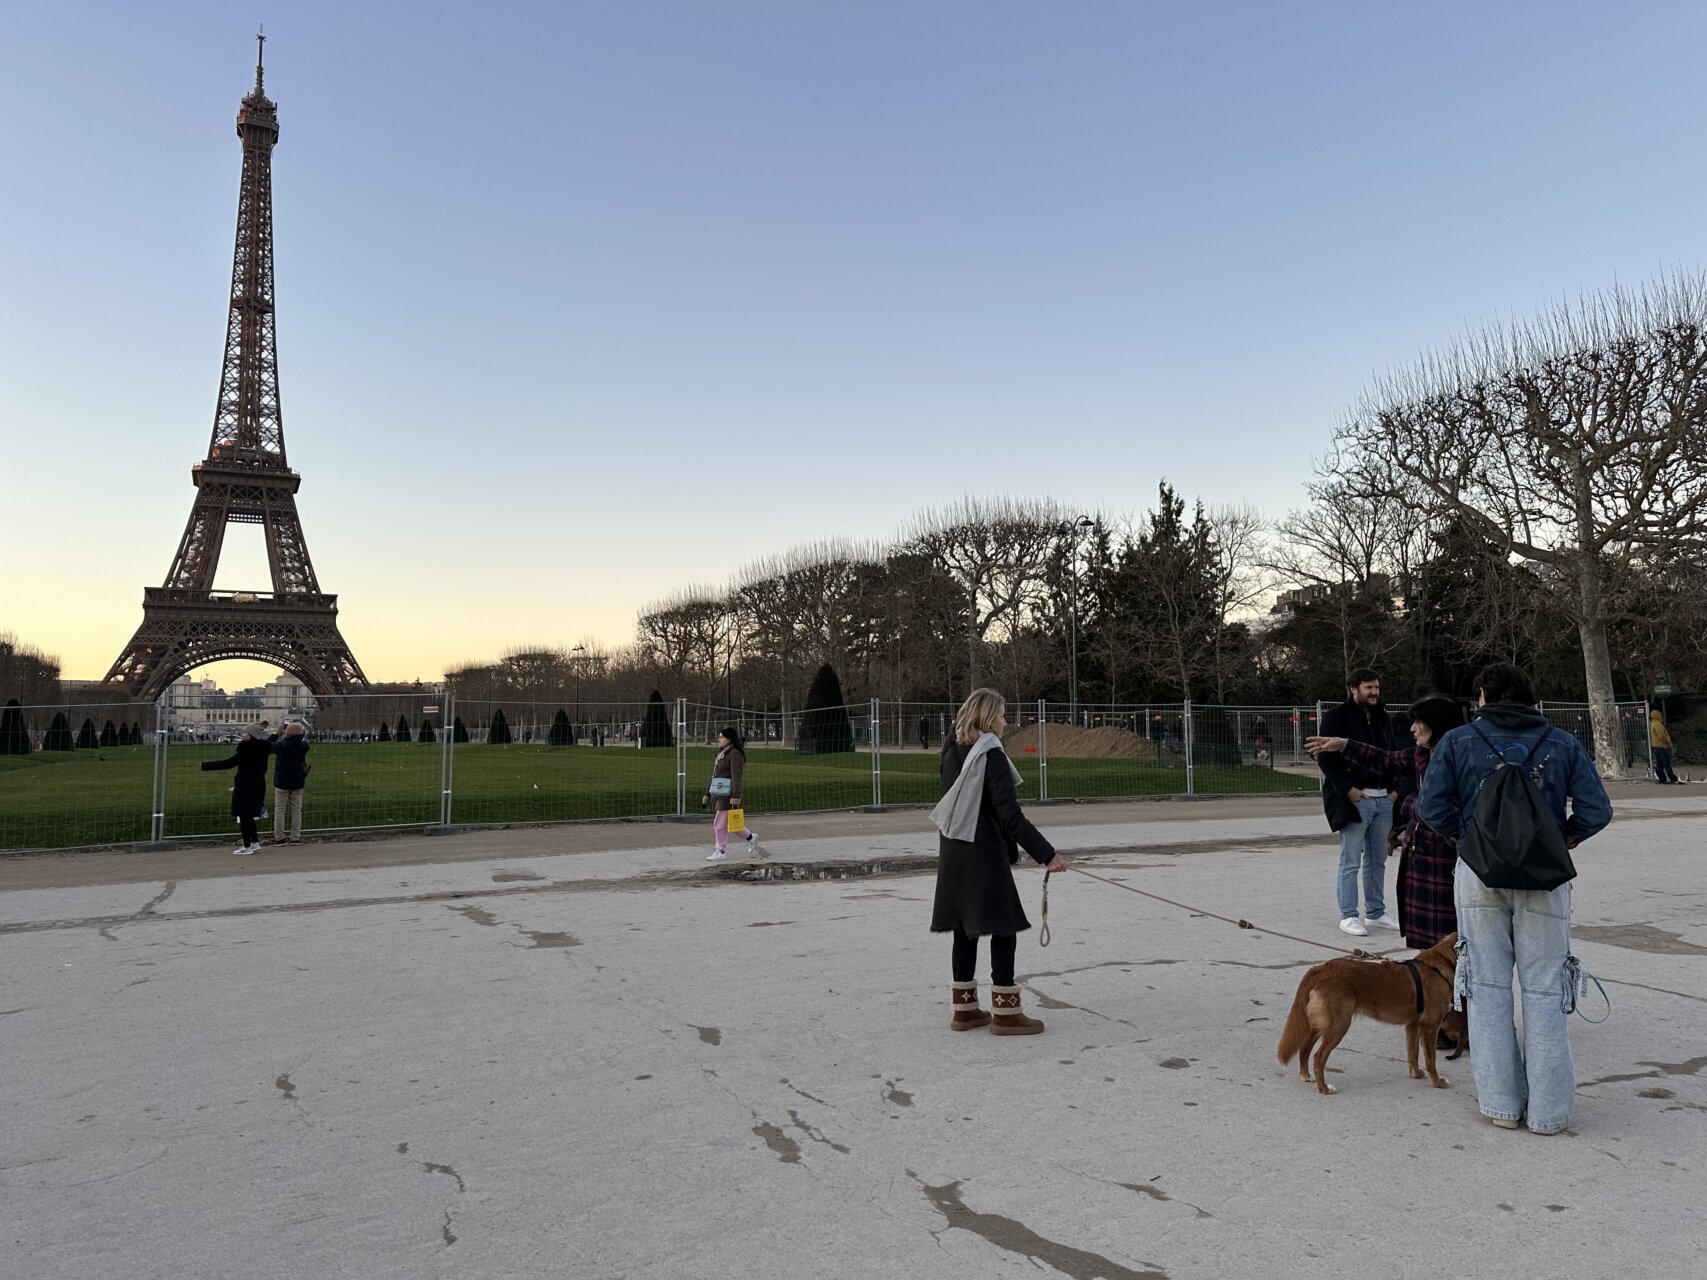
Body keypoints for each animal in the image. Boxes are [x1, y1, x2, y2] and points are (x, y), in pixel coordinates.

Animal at [1276, 935, 1461, 1099]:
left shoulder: (1413, 1025)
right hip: (1338, 1025)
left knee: (1305, 1048)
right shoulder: (1431, 1026)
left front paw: (1415, 1074)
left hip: (1321, 1022)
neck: (1438, 968)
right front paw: (1438, 1082)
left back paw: (1306, 1075)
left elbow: (1413, 1053)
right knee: (1319, 1056)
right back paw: (1323, 1088)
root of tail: (1321, 968)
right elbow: (1431, 1058)